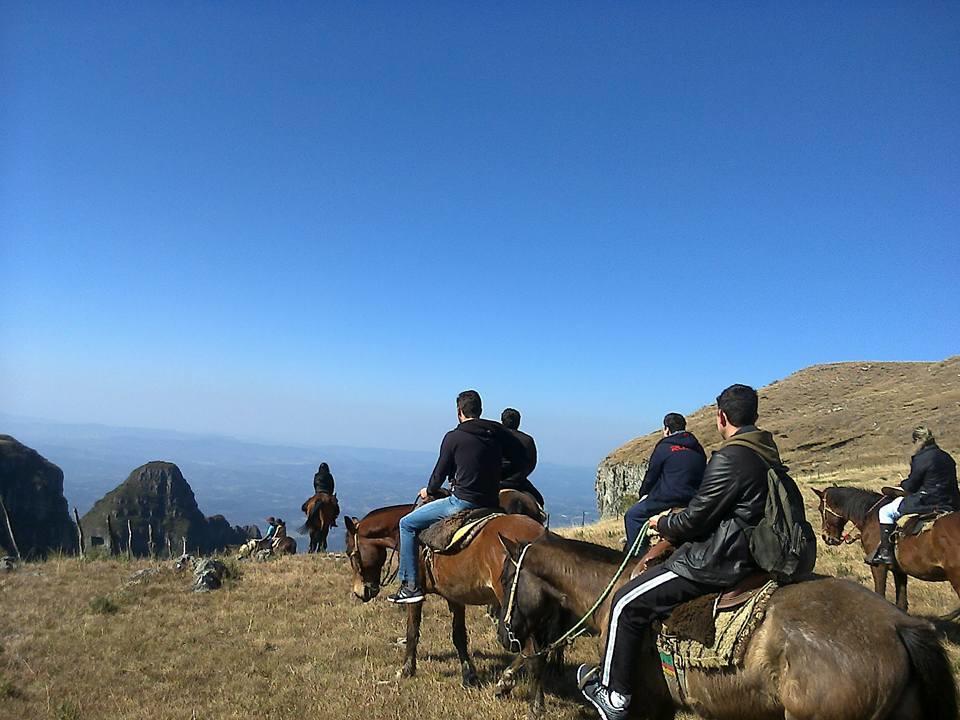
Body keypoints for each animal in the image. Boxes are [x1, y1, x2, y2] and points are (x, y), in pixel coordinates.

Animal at [344, 504, 548, 688]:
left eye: (349, 553)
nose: (359, 592)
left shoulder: (416, 594)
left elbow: (412, 631)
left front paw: (406, 670)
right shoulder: (455, 596)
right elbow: (459, 636)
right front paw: (469, 675)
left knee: (530, 648)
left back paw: (505, 681)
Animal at [812, 486, 960, 620]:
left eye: (820, 509)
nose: (826, 537)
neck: (870, 515)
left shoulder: (878, 567)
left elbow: (880, 594)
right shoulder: (899, 571)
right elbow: (901, 603)